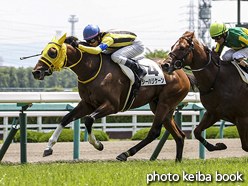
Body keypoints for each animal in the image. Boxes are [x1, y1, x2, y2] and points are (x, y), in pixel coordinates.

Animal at [32, 33, 192, 161]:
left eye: (52, 52)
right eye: (42, 51)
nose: (36, 72)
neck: (92, 69)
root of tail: (182, 73)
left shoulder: (112, 105)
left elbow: (89, 120)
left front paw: (98, 145)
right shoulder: (87, 104)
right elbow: (65, 118)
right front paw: (48, 147)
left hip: (165, 103)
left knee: (154, 132)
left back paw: (125, 154)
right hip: (161, 106)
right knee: (179, 135)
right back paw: (177, 161)